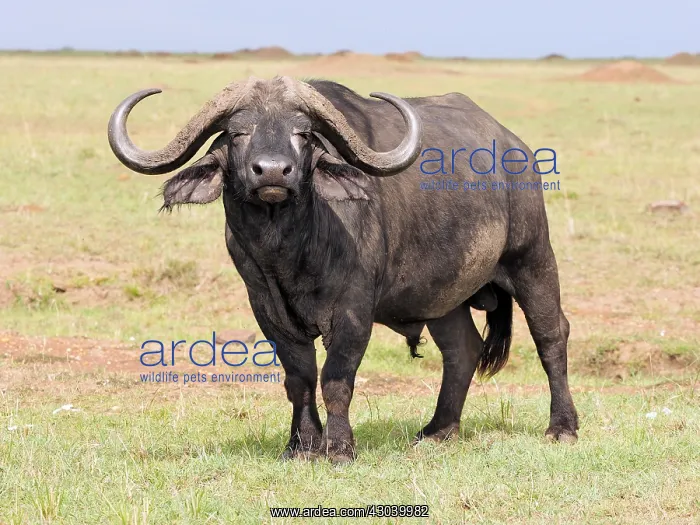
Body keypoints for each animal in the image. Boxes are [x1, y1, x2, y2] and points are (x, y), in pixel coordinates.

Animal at [108, 76, 578, 463]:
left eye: (302, 133)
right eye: (239, 133)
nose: (273, 171)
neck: (291, 251)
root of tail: (516, 151)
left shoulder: (353, 311)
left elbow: (336, 378)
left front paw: (339, 448)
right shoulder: (267, 310)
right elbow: (299, 379)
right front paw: (301, 446)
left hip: (532, 259)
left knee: (551, 335)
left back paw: (562, 427)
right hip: (443, 297)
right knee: (462, 350)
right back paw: (437, 430)